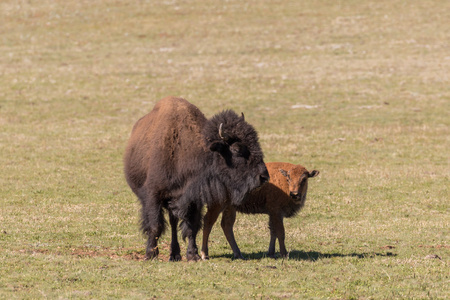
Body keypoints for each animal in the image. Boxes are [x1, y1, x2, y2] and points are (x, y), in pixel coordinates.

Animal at [123, 96, 268, 260]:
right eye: (237, 149)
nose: (263, 176)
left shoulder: (192, 199)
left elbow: (191, 227)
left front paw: (193, 255)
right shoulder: (153, 196)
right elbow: (155, 225)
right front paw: (150, 254)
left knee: (174, 222)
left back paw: (175, 254)